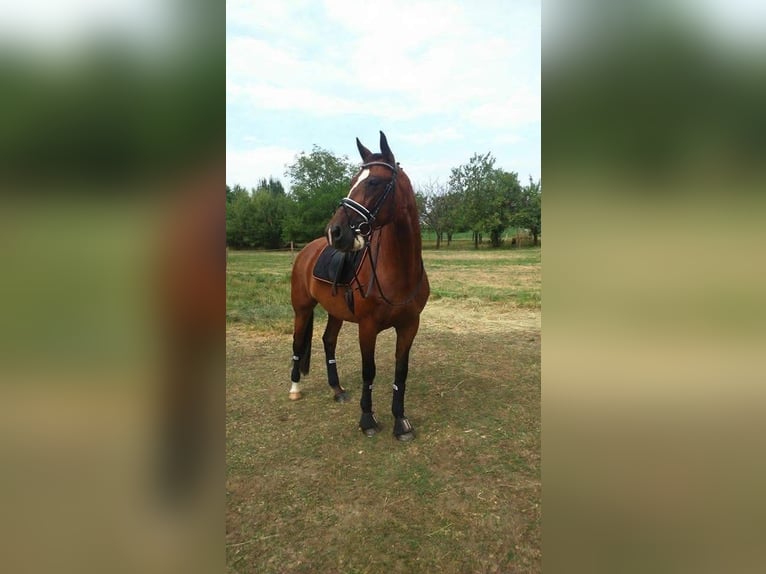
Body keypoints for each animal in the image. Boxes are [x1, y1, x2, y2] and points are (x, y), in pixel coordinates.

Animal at [290, 133, 428, 444]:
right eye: (354, 179)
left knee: (328, 341)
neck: (399, 271)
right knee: (297, 343)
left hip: (335, 312)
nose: (335, 231)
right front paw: (368, 420)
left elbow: (401, 372)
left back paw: (337, 389)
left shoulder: (409, 326)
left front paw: (400, 421)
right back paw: (294, 389)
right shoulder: (368, 327)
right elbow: (369, 372)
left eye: (374, 182)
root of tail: (307, 251)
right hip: (302, 310)